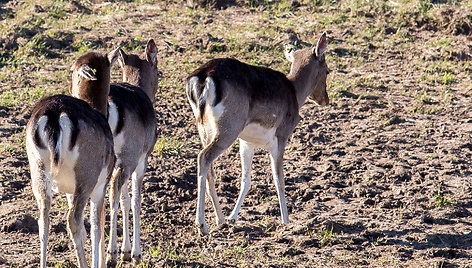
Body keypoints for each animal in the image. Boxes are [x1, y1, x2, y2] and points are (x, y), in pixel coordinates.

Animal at [24, 48, 121, 268]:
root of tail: (55, 115)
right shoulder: (101, 183)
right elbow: (96, 225)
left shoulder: (69, 190)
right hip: (87, 174)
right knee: (74, 219)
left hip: (38, 170)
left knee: (43, 220)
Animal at [186, 31, 330, 234]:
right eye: (327, 71)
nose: (325, 99)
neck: (295, 93)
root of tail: (202, 78)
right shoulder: (281, 135)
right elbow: (279, 179)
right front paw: (286, 221)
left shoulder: (247, 141)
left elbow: (246, 180)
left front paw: (233, 218)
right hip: (229, 126)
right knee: (203, 157)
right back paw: (202, 225)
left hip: (204, 127)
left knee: (210, 169)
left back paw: (220, 220)